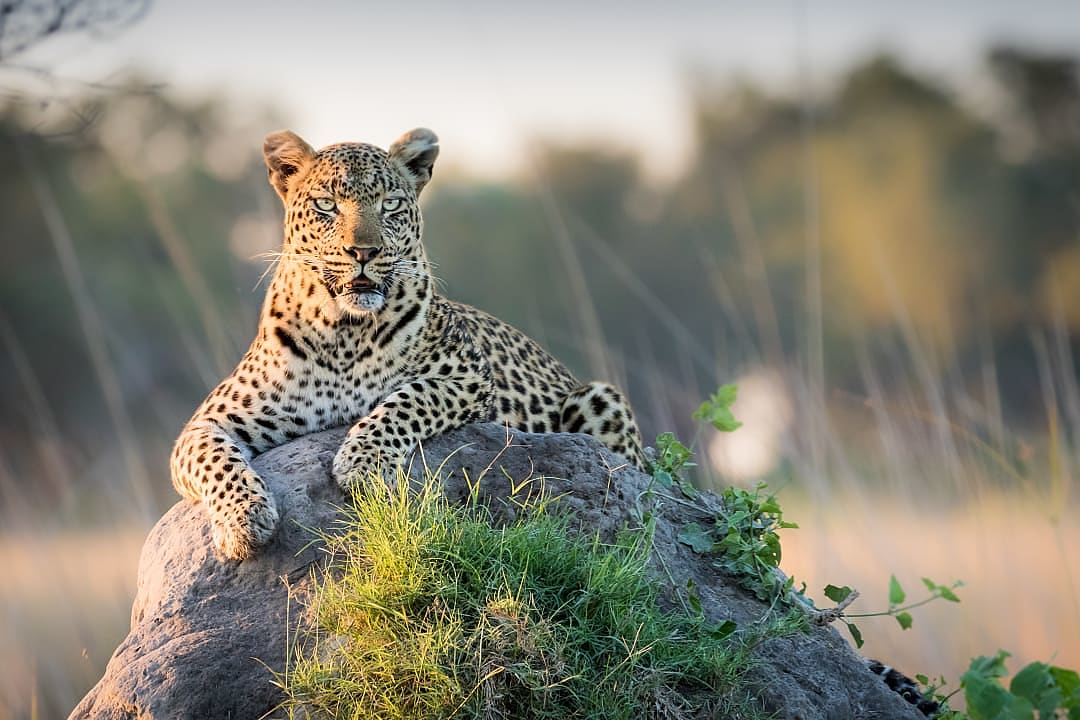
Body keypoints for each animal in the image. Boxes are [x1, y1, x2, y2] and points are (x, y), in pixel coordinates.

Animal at [170, 128, 646, 560]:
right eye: (326, 204)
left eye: (391, 204)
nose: (363, 251)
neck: (342, 330)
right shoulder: (208, 421)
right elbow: (212, 458)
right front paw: (243, 520)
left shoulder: (468, 376)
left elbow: (407, 400)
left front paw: (360, 464)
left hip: (599, 399)